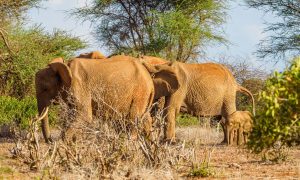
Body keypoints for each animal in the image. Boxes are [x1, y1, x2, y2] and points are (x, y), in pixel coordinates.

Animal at [35, 54, 180, 142]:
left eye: (45, 89)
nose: (49, 141)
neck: (64, 66)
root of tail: (149, 79)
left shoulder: (79, 85)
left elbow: (83, 115)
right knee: (144, 119)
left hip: (140, 92)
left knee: (134, 119)